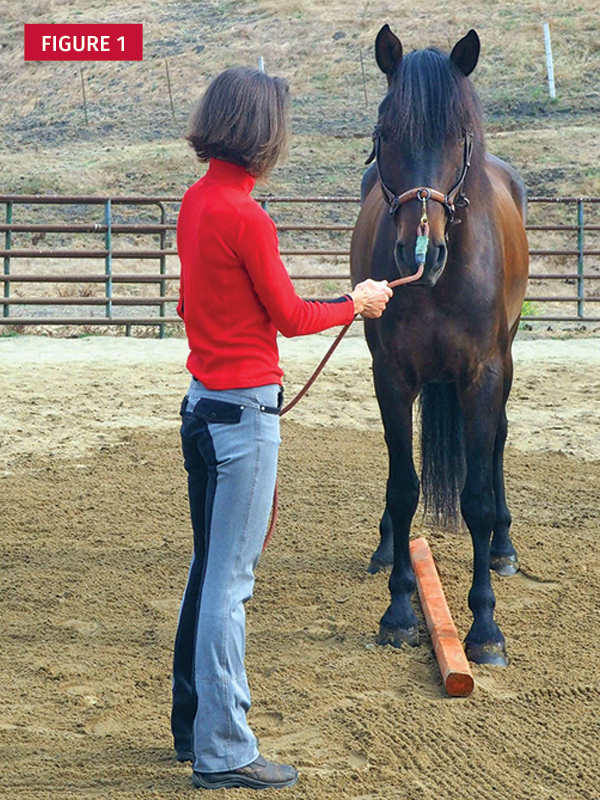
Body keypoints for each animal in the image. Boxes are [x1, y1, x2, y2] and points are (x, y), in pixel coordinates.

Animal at [350, 25, 529, 666]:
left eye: (460, 137)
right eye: (384, 132)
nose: (418, 254)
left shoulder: (482, 375)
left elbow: (475, 498)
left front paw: (485, 629)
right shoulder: (392, 377)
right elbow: (404, 487)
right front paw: (401, 610)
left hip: (506, 359)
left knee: (497, 442)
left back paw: (503, 547)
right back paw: (385, 549)